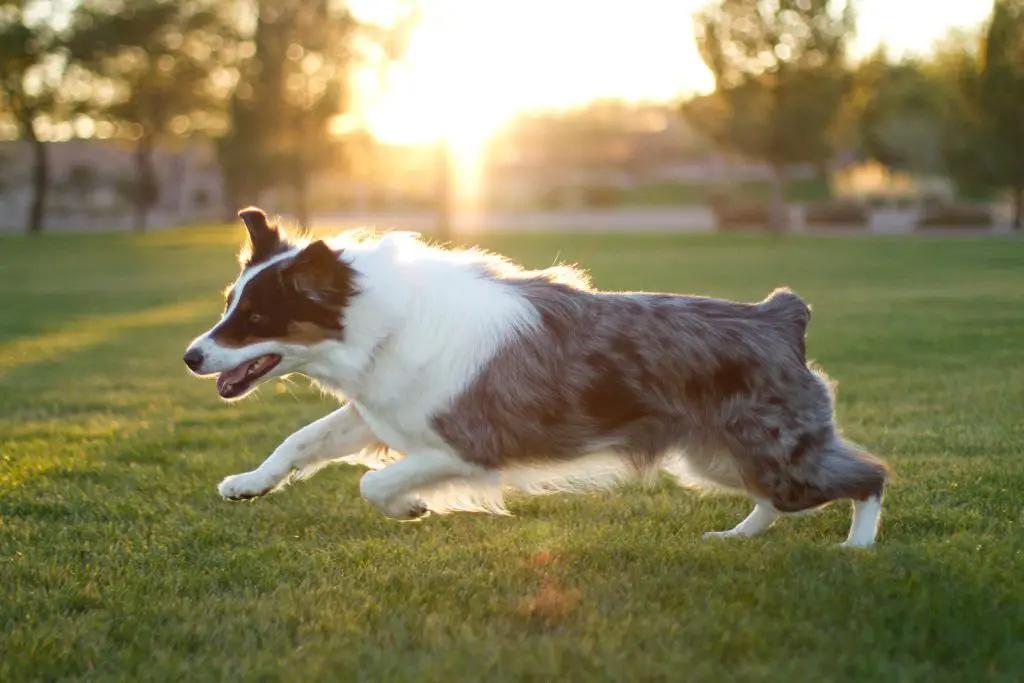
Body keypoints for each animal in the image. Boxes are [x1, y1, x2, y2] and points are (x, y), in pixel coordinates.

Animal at [182, 205, 888, 548]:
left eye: (257, 317)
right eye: (229, 303)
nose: (190, 356)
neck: (384, 323)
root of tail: (779, 316)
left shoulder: (470, 446)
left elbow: (374, 482)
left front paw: (410, 506)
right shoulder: (383, 409)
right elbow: (300, 441)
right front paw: (248, 484)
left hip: (776, 453)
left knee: (869, 476)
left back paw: (857, 550)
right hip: (716, 456)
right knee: (771, 498)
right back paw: (736, 536)